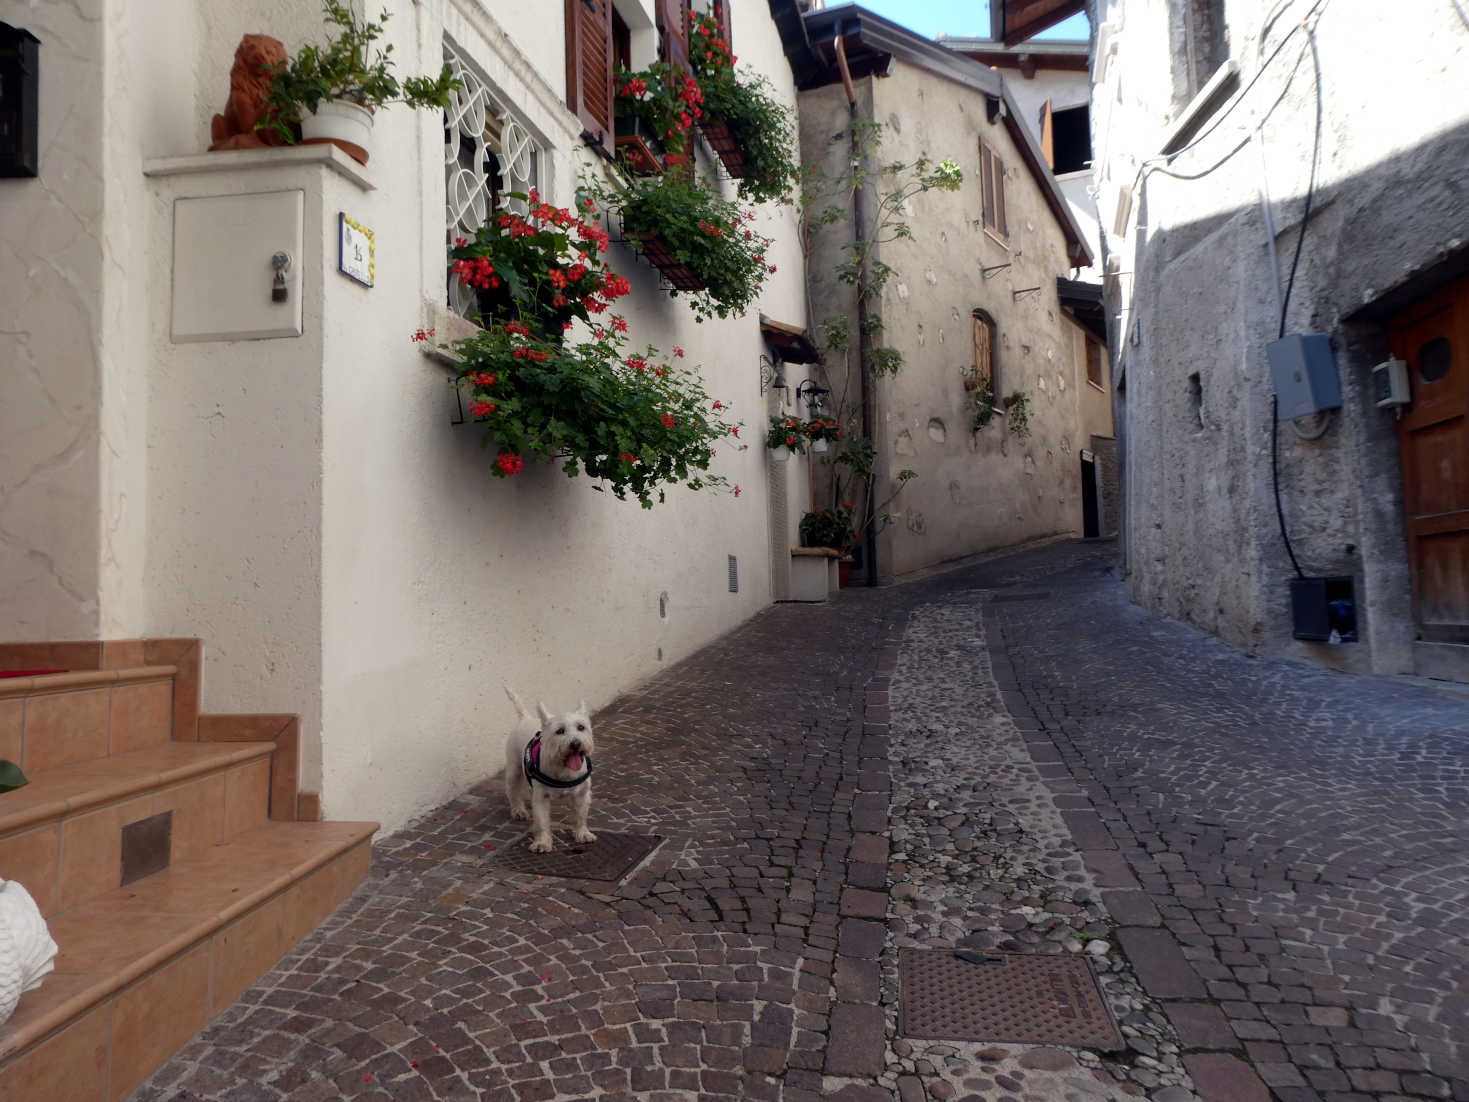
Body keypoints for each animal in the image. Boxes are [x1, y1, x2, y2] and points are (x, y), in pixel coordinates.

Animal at [505, 687, 596, 858]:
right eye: (559, 731)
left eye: (581, 727)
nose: (576, 744)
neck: (563, 767)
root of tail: (525, 718)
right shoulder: (541, 797)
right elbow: (541, 821)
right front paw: (542, 843)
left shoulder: (582, 794)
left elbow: (581, 815)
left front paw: (583, 834)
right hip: (514, 768)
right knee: (512, 790)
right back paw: (518, 810)